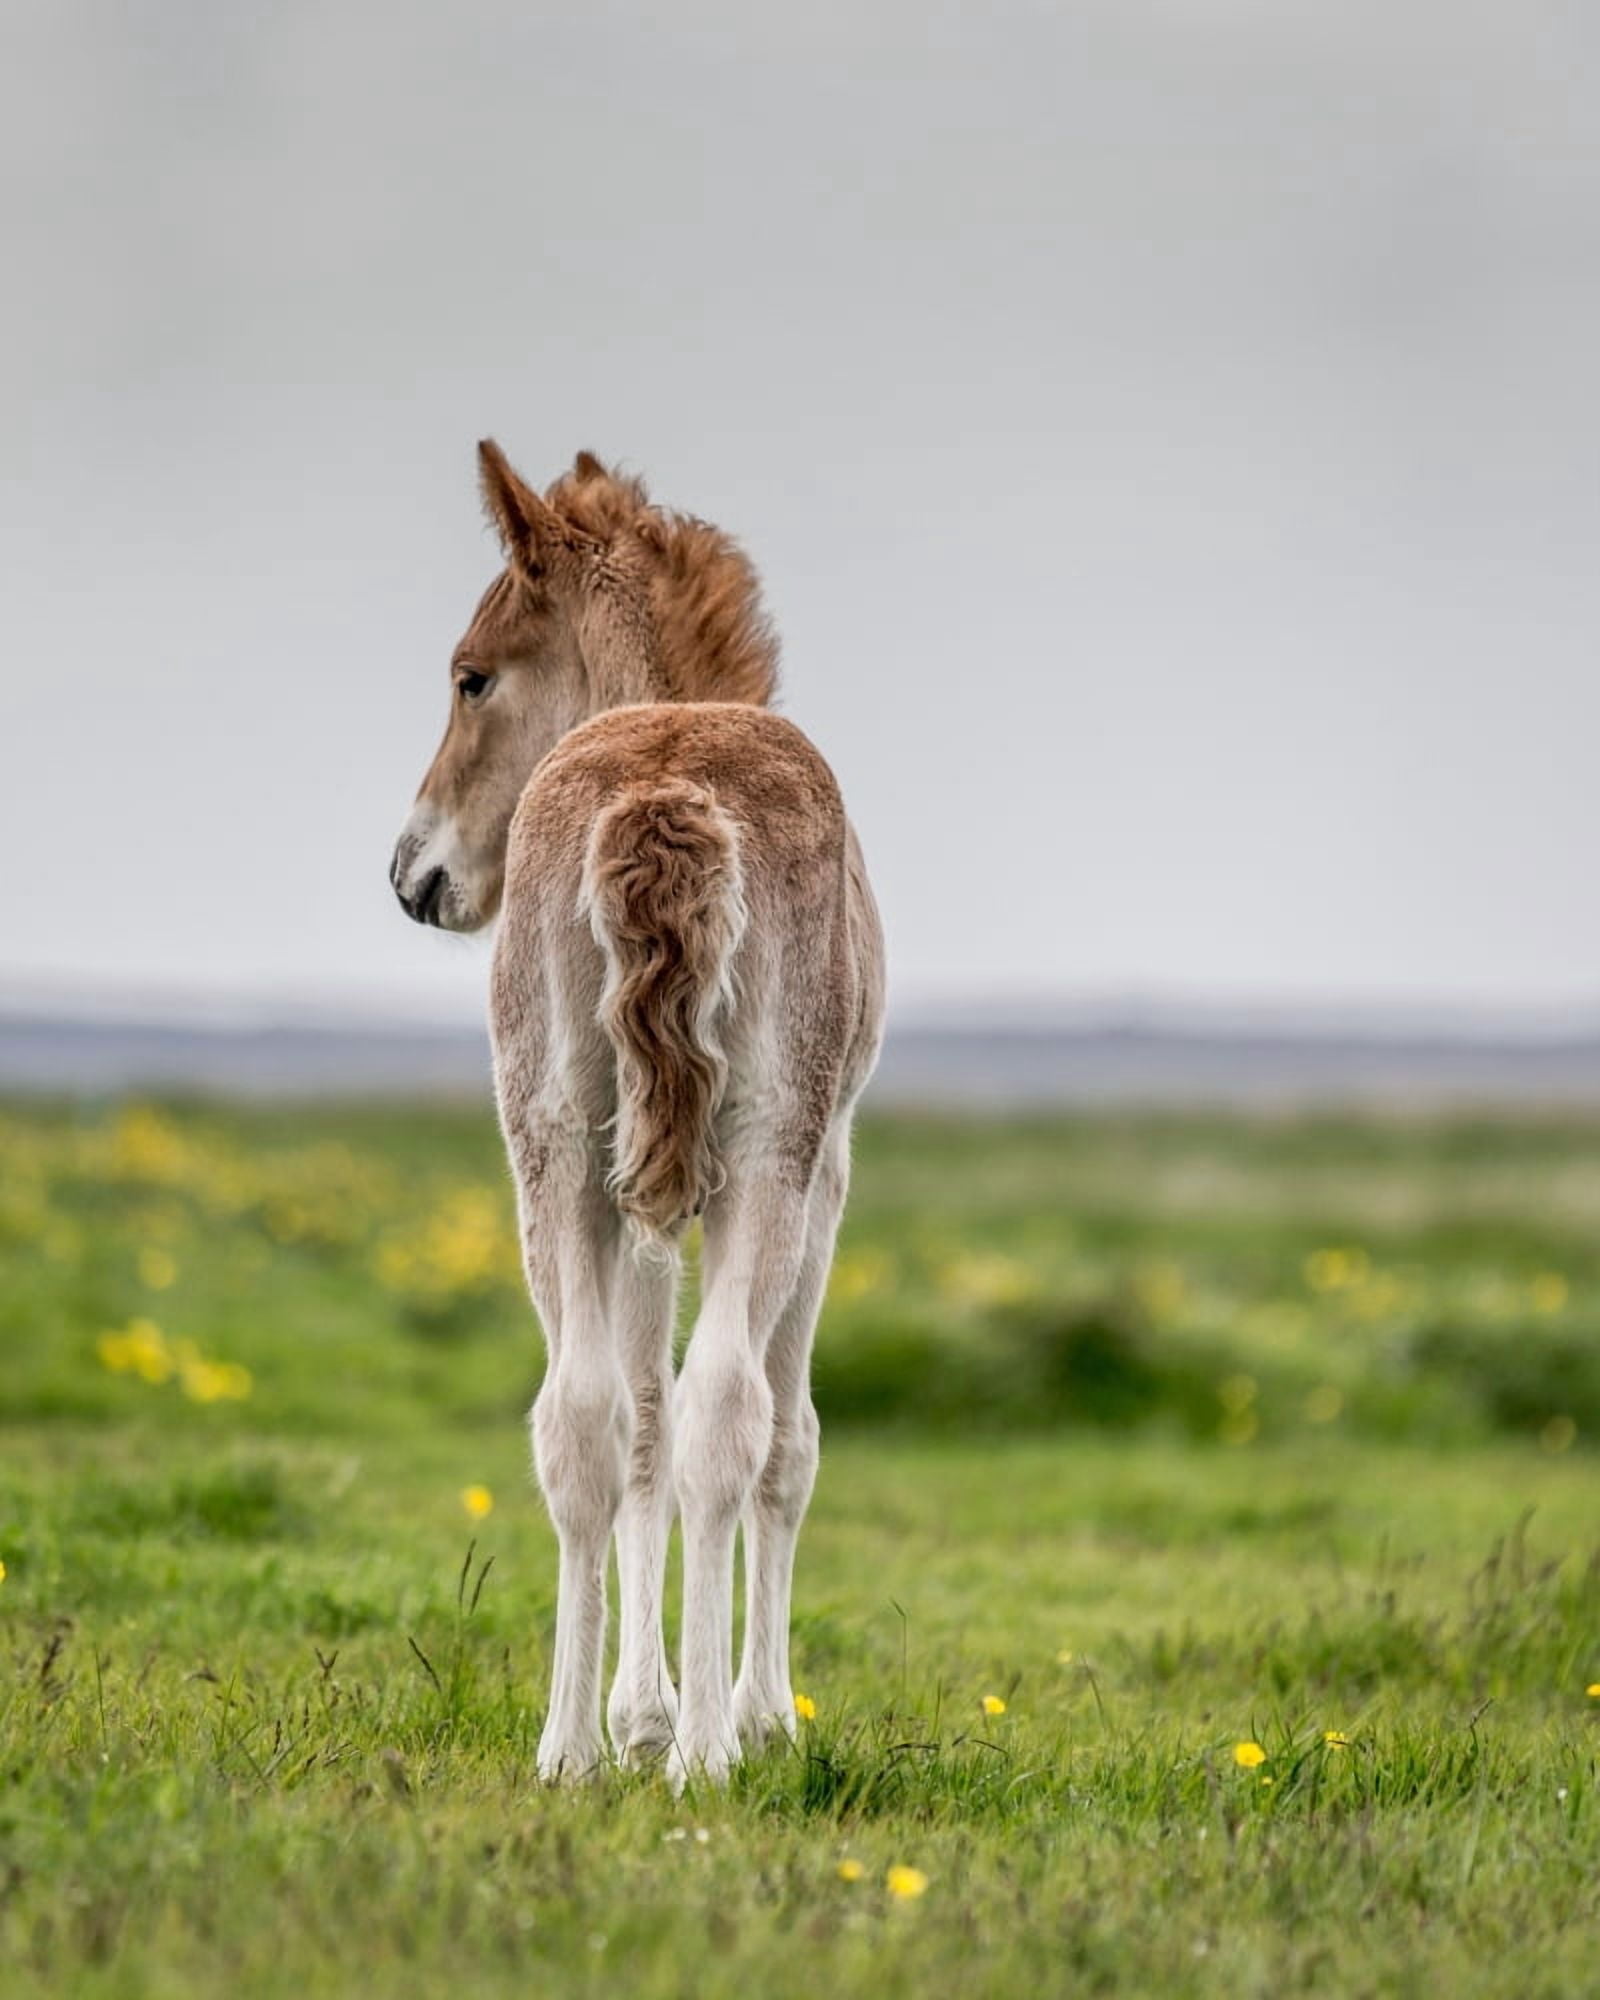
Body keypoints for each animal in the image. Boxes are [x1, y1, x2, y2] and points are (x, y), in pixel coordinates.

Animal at [390, 442, 885, 1786]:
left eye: (471, 674)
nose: (413, 874)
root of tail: (664, 784)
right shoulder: (822, 1168)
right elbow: (777, 1436)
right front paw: (743, 1713)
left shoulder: (640, 1179)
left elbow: (639, 1425)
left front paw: (637, 1709)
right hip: (765, 1149)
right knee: (726, 1406)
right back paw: (711, 1747)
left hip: (555, 1144)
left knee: (582, 1418)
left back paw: (568, 1744)